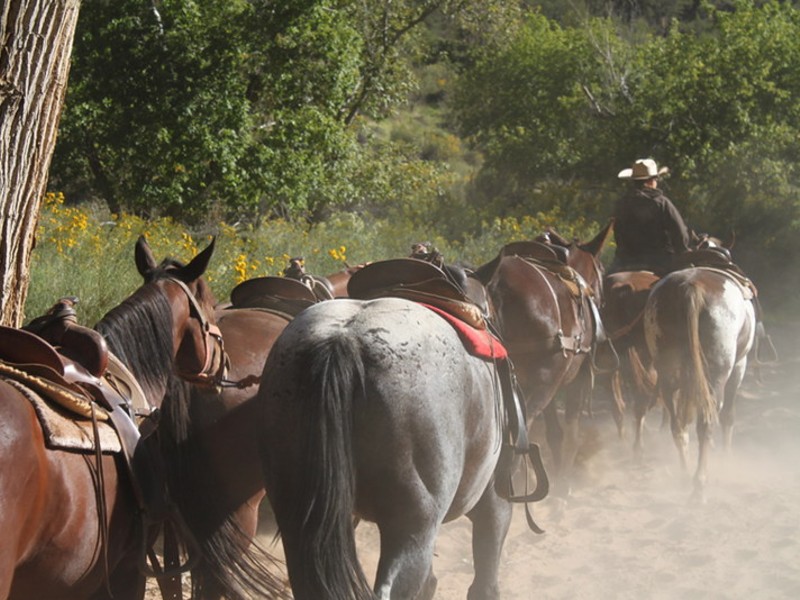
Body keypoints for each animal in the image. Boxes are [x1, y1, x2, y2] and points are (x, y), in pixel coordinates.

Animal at [468, 221, 612, 492]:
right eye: (601, 269)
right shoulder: (571, 379)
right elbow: (570, 430)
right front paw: (563, 484)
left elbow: (554, 433)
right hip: (541, 385)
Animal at [644, 268, 756, 502]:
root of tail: (691, 288)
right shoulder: (739, 366)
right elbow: (728, 416)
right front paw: (727, 458)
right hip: (716, 375)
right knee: (706, 423)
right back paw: (699, 483)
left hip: (668, 374)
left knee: (678, 427)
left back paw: (685, 475)